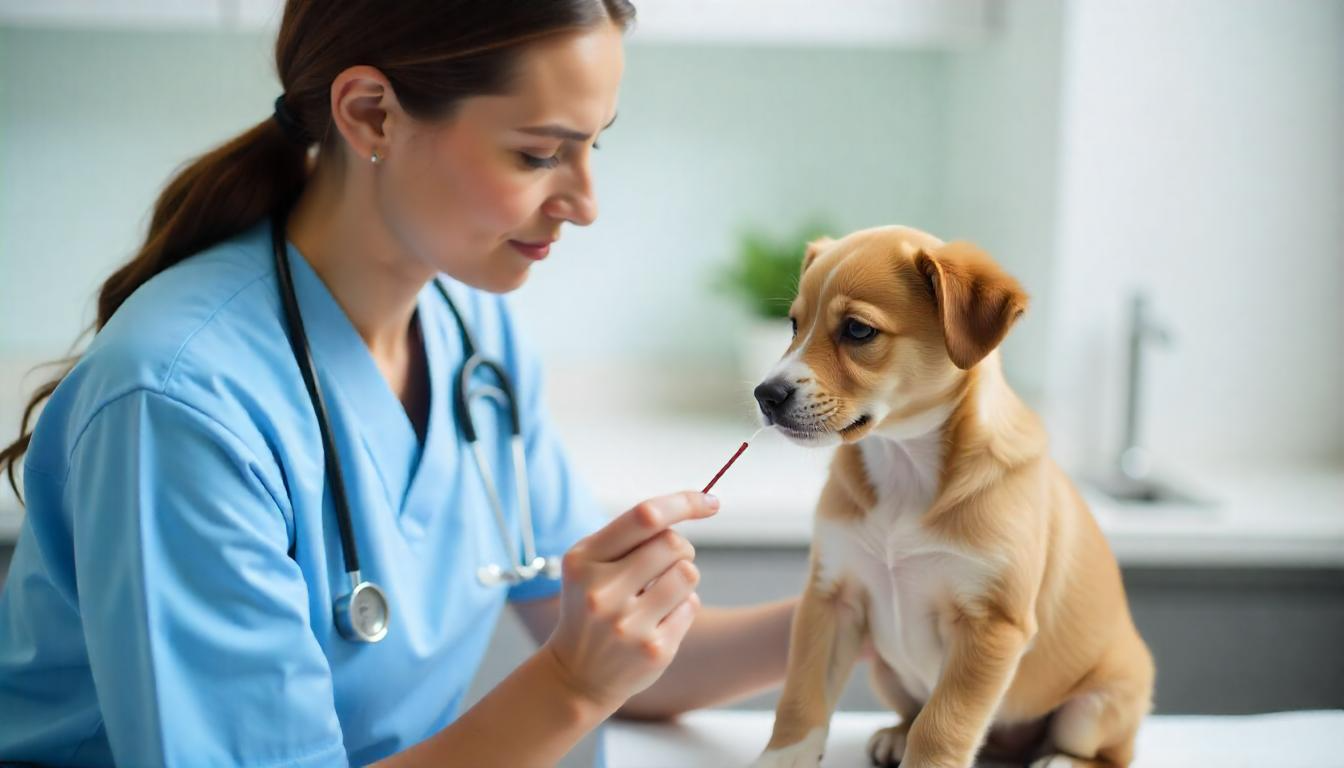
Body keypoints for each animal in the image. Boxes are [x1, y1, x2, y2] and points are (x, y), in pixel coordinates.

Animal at [752, 228, 1150, 768]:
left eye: (857, 331)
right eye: (794, 325)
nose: (765, 396)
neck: (903, 464)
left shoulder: (990, 625)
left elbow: (943, 726)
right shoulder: (831, 597)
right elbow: (802, 695)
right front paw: (784, 757)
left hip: (1097, 706)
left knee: (1106, 752)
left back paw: (1060, 760)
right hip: (886, 671)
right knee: (913, 713)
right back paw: (896, 735)